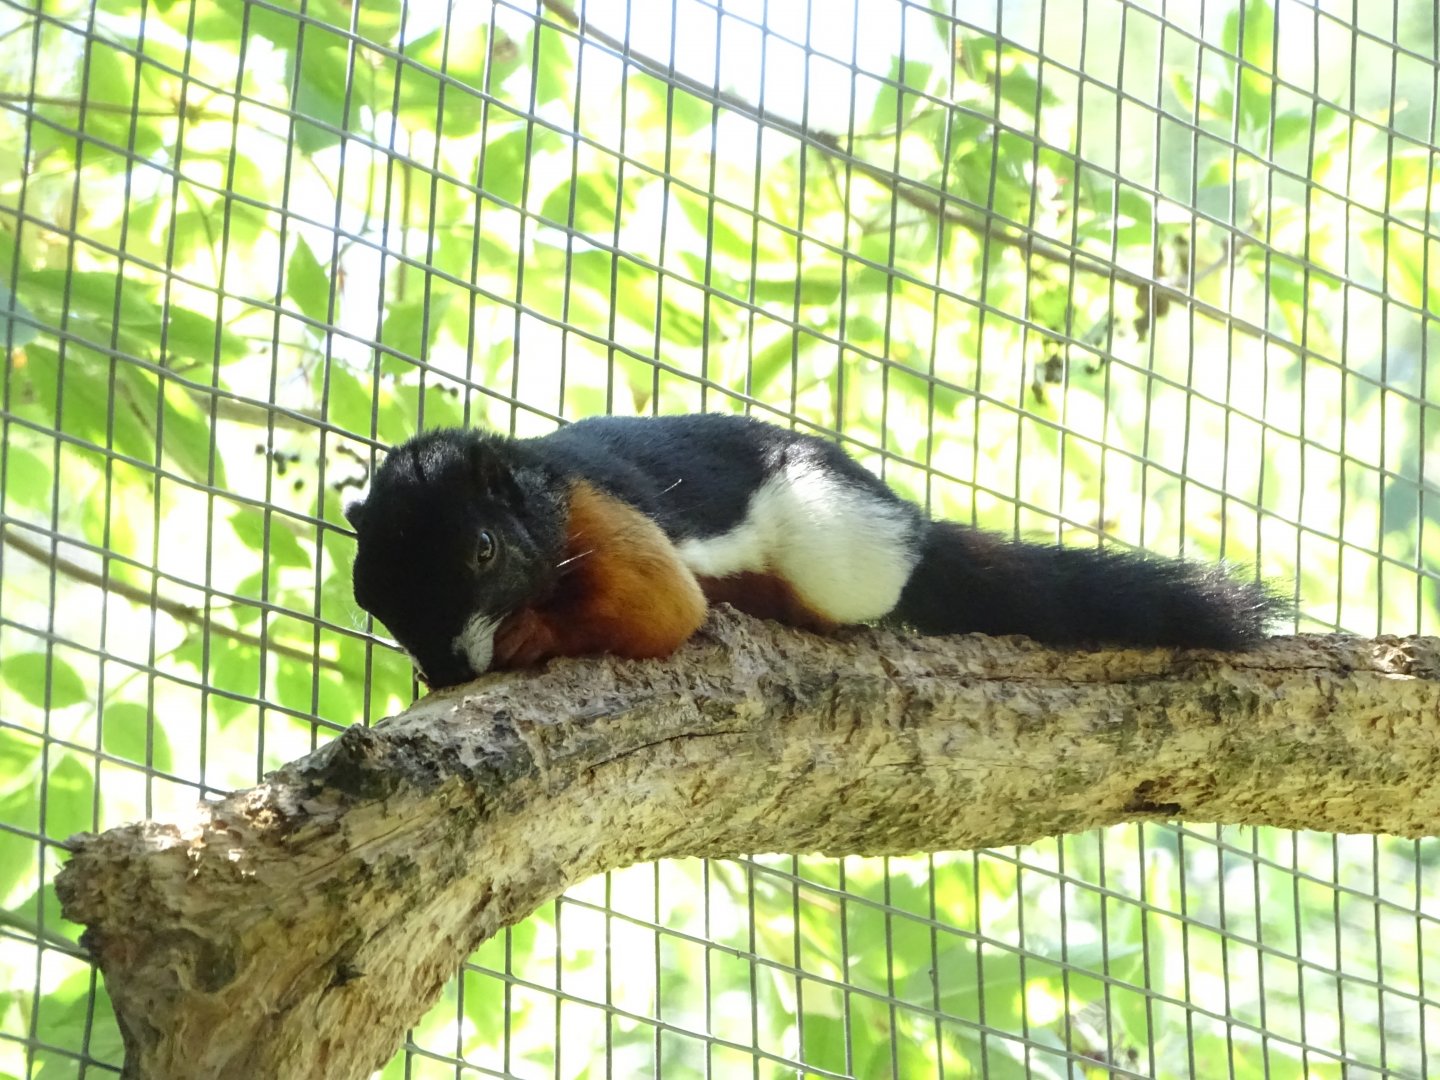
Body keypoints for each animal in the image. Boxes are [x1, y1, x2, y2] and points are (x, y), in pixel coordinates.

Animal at [345, 413, 1286, 688]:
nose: (451, 669)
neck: (541, 490)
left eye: (482, 550)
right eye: (369, 597)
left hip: (838, 550)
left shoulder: (604, 519)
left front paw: (529, 635)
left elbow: (662, 607)